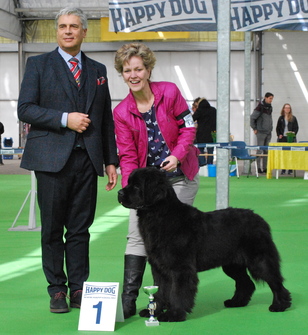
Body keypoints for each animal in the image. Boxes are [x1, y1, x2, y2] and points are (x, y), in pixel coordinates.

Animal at [117, 168, 292, 322]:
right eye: (129, 182)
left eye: (137, 186)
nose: (119, 193)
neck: (159, 215)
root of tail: (260, 220)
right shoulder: (159, 267)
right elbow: (160, 291)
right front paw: (153, 311)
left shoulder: (181, 268)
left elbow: (177, 292)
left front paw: (174, 314)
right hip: (232, 264)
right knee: (246, 283)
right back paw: (236, 302)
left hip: (259, 260)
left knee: (276, 281)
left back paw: (280, 305)